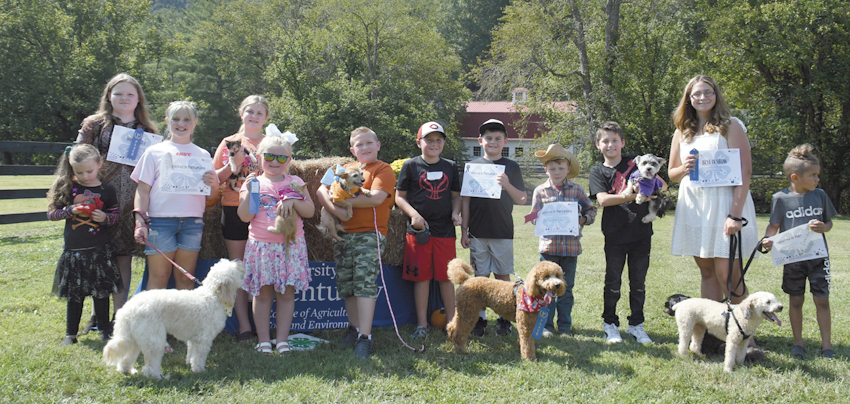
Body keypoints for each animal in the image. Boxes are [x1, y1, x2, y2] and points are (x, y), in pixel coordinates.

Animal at [102, 258, 245, 378]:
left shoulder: (194, 338)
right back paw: (159, 377)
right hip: (154, 340)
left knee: (126, 359)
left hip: (136, 339)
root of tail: (126, 310)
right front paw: (199, 370)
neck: (213, 294)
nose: (241, 262)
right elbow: (199, 357)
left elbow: (191, 353)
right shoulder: (203, 339)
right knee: (149, 366)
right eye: (234, 268)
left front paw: (189, 364)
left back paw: (127, 370)